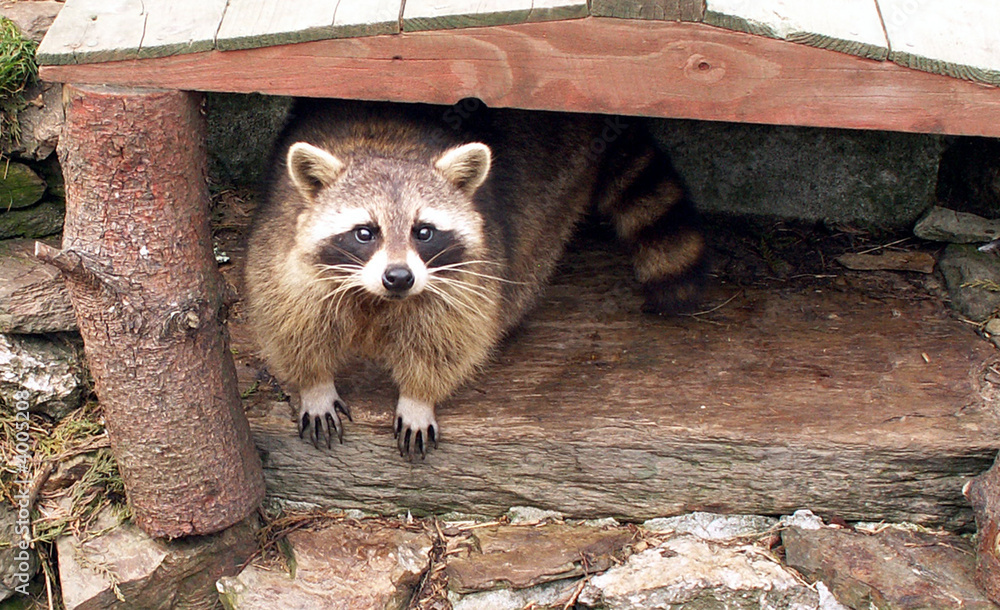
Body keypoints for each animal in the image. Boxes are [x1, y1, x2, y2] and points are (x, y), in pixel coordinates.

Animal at [244, 98, 705, 460]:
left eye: (423, 231)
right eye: (364, 232)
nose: (399, 277)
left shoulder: (469, 277)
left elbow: (450, 337)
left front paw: (419, 396)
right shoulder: (283, 256)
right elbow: (290, 323)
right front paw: (314, 382)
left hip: (557, 178)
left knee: (532, 247)